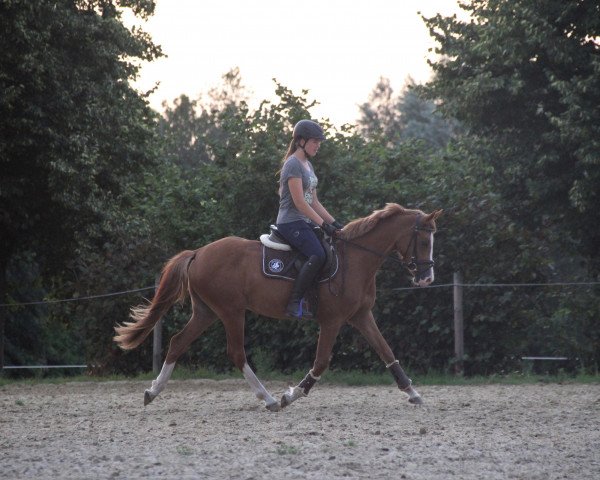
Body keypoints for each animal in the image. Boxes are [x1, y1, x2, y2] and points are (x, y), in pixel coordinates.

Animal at [113, 204, 440, 410]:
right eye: (424, 241)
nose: (427, 278)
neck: (355, 259)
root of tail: (198, 252)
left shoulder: (361, 316)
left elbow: (387, 351)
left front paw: (413, 393)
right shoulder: (332, 320)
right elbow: (321, 362)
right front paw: (292, 395)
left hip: (206, 311)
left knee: (178, 342)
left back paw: (153, 391)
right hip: (231, 311)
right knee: (236, 353)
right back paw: (269, 399)